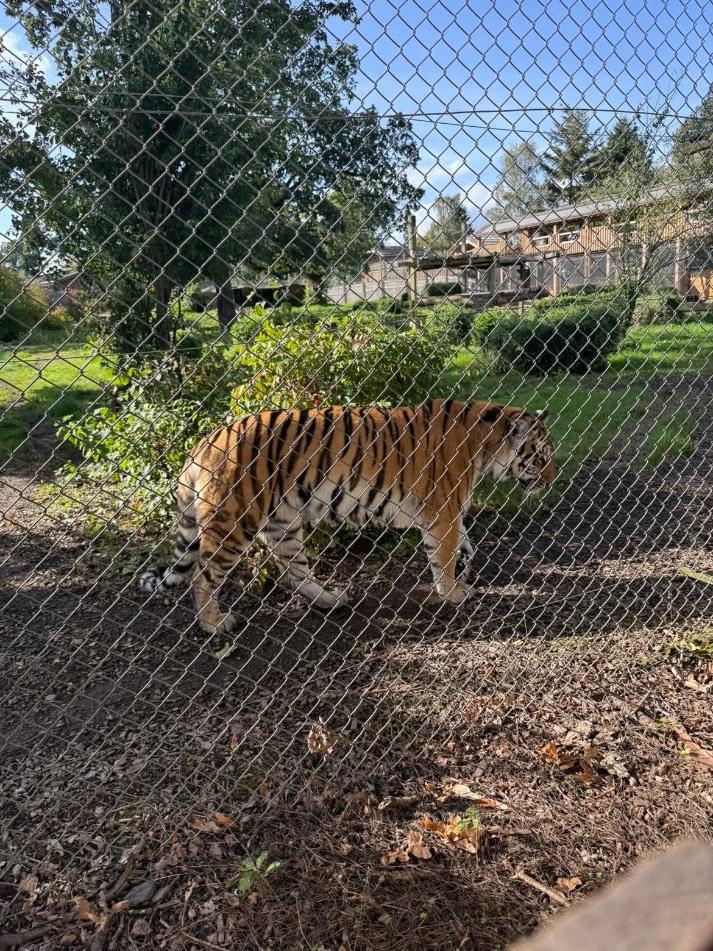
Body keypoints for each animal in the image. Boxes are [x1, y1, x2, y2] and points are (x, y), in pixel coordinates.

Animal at [140, 399, 555, 634]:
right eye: (540, 456)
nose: (551, 482)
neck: (487, 446)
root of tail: (204, 442)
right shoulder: (443, 512)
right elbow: (446, 553)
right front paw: (452, 592)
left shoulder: (447, 514)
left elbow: (466, 544)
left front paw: (465, 571)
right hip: (235, 522)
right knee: (203, 575)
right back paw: (214, 625)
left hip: (283, 521)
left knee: (293, 570)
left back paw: (329, 599)